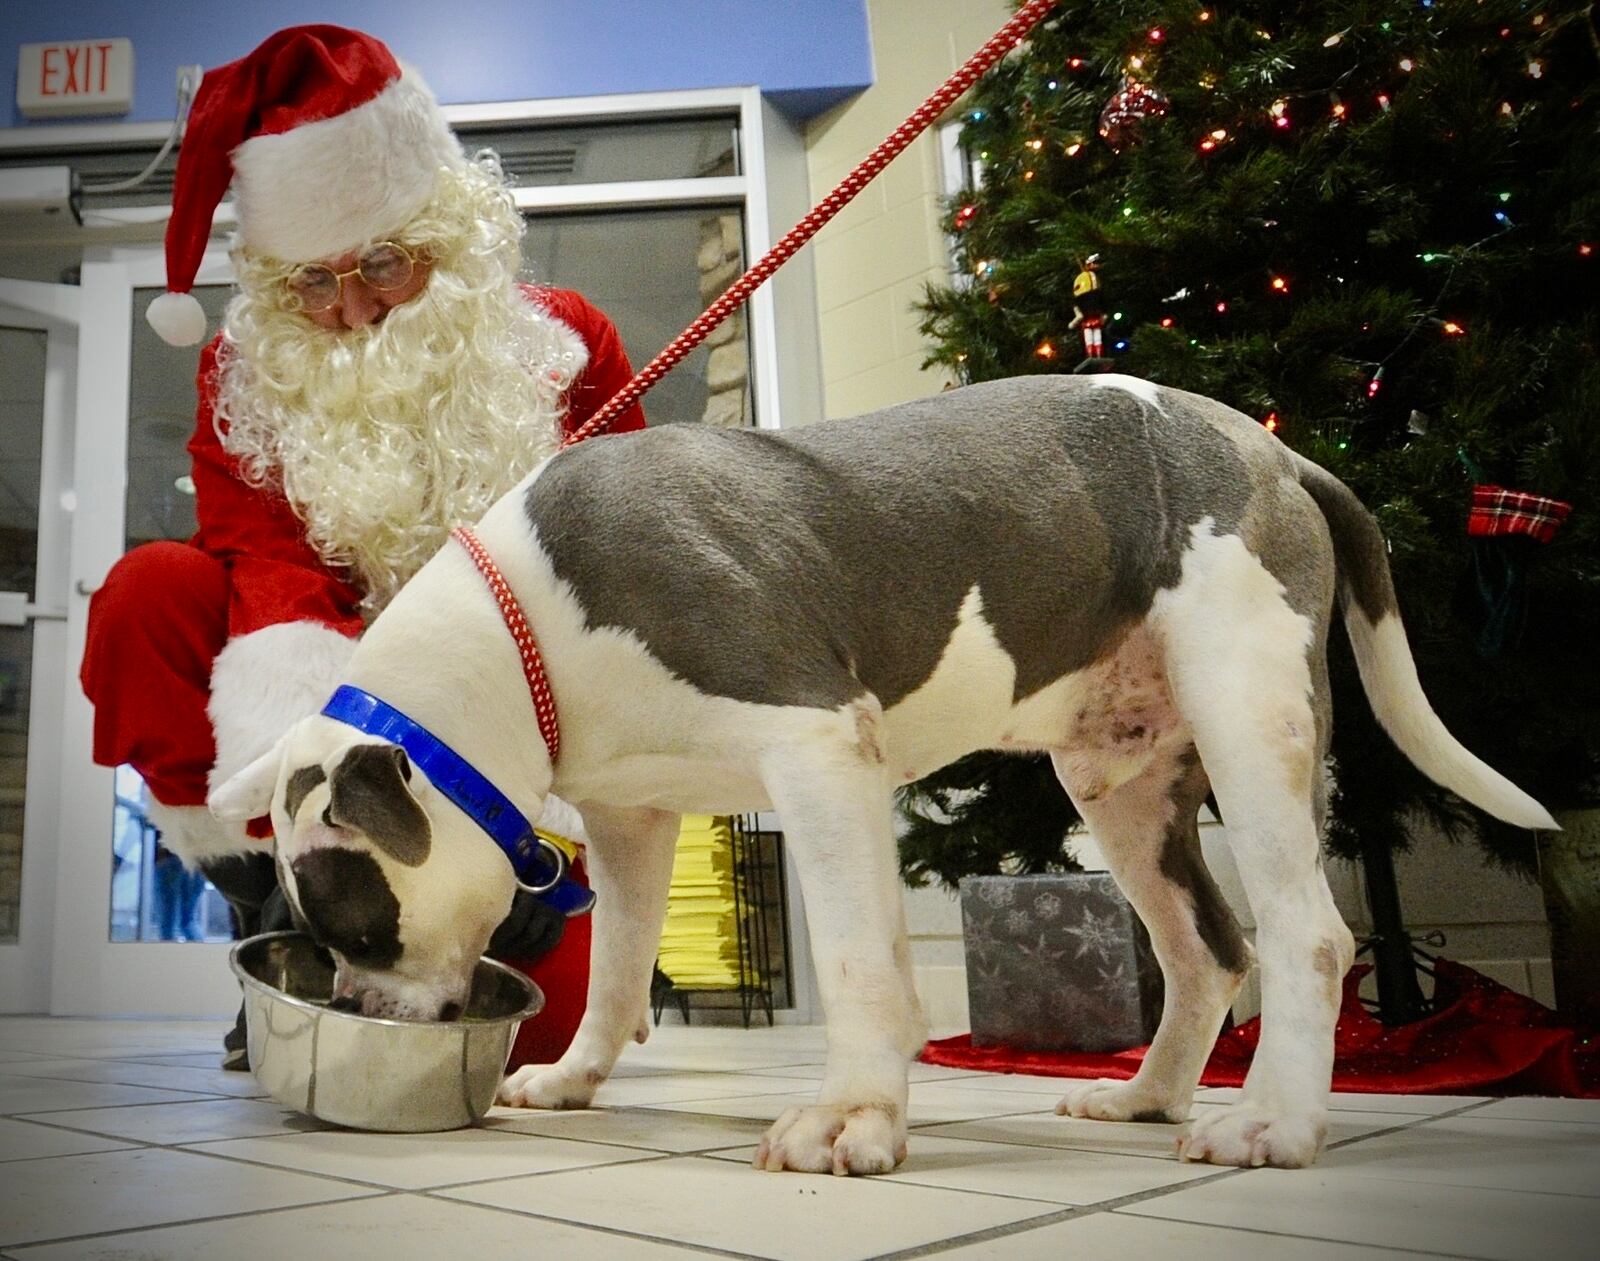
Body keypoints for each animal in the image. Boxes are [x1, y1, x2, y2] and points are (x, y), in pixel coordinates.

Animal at [209, 371, 1548, 1171]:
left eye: (360, 931)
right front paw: (576, 1077)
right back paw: (1144, 1096)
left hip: (1248, 705)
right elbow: (622, 968)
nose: (357, 1005)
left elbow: (859, 963)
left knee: (1304, 931)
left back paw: (1271, 1120)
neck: (518, 632)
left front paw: (852, 1117)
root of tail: (1269, 449)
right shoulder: (634, 819)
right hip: (1122, 783)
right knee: (1206, 947)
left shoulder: (815, 751)